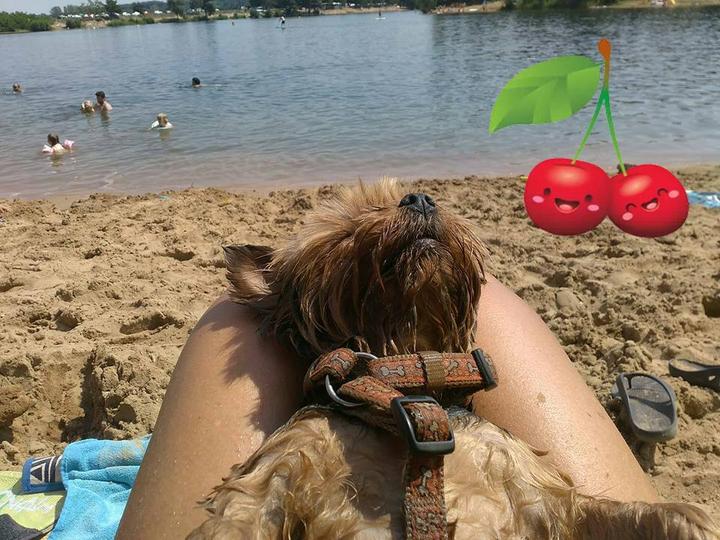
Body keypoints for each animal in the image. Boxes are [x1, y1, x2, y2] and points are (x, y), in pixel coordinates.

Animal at [189, 180, 717, 539]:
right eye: (352, 222)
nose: (421, 199)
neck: (408, 390)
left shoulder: (546, 500)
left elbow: (643, 515)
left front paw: (689, 519)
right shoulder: (275, 474)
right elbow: (232, 522)